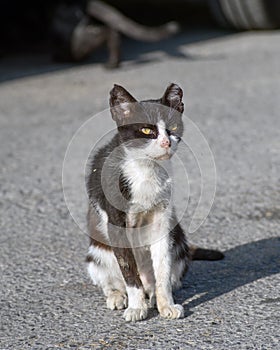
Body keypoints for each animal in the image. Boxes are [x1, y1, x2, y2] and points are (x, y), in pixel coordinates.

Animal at [85, 83, 223, 322]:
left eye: (173, 127)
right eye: (147, 131)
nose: (166, 142)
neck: (145, 169)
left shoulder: (162, 218)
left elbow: (163, 268)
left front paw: (166, 304)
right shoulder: (116, 223)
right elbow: (128, 269)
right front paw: (136, 307)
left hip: (179, 244)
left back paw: (151, 296)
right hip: (97, 253)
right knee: (110, 277)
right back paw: (118, 295)